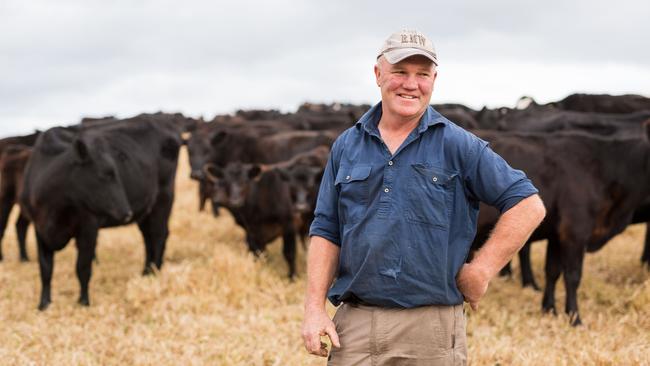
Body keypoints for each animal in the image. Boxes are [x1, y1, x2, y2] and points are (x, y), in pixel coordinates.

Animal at [20, 116, 181, 308]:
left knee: (159, 235)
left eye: (114, 172)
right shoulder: (40, 228)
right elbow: (45, 268)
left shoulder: (88, 226)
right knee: (148, 238)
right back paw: (146, 271)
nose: (126, 212)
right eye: (104, 174)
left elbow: (82, 267)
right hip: (146, 210)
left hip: (163, 199)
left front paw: (83, 301)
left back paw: (154, 273)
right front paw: (44, 303)